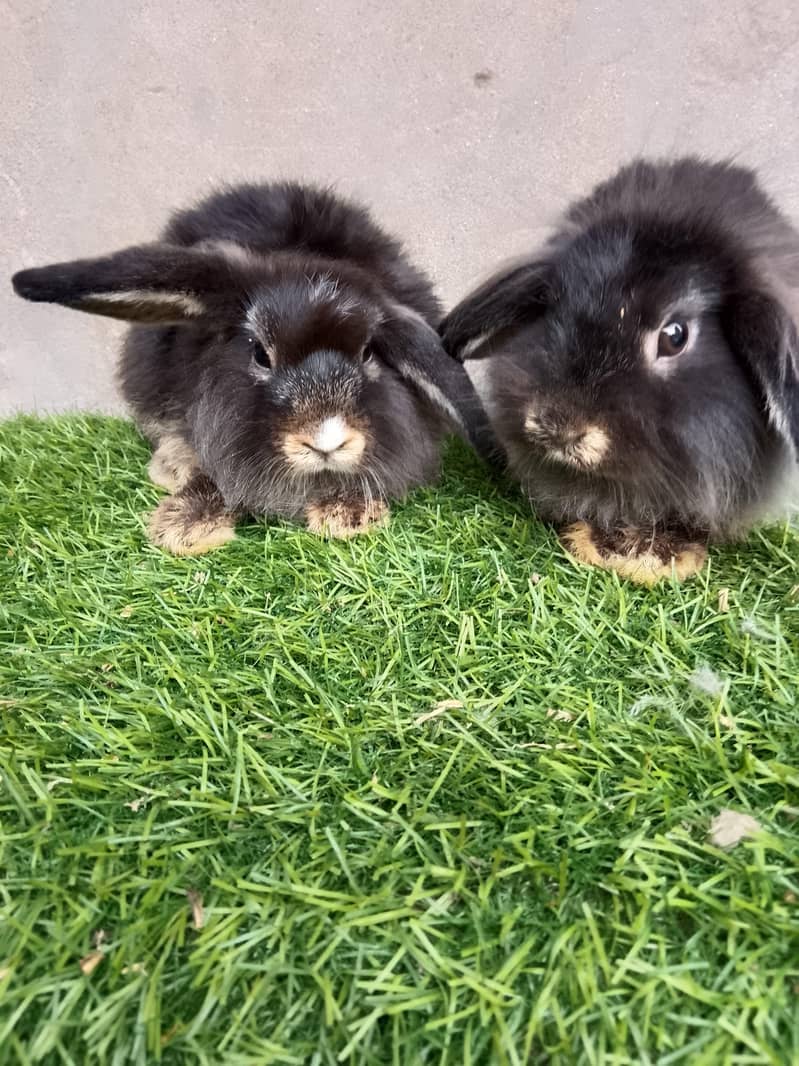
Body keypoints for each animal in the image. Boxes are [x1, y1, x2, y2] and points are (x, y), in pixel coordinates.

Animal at [13, 182, 495, 554]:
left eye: (368, 355)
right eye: (260, 354)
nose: (326, 440)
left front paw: (349, 513)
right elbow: (212, 468)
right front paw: (187, 527)